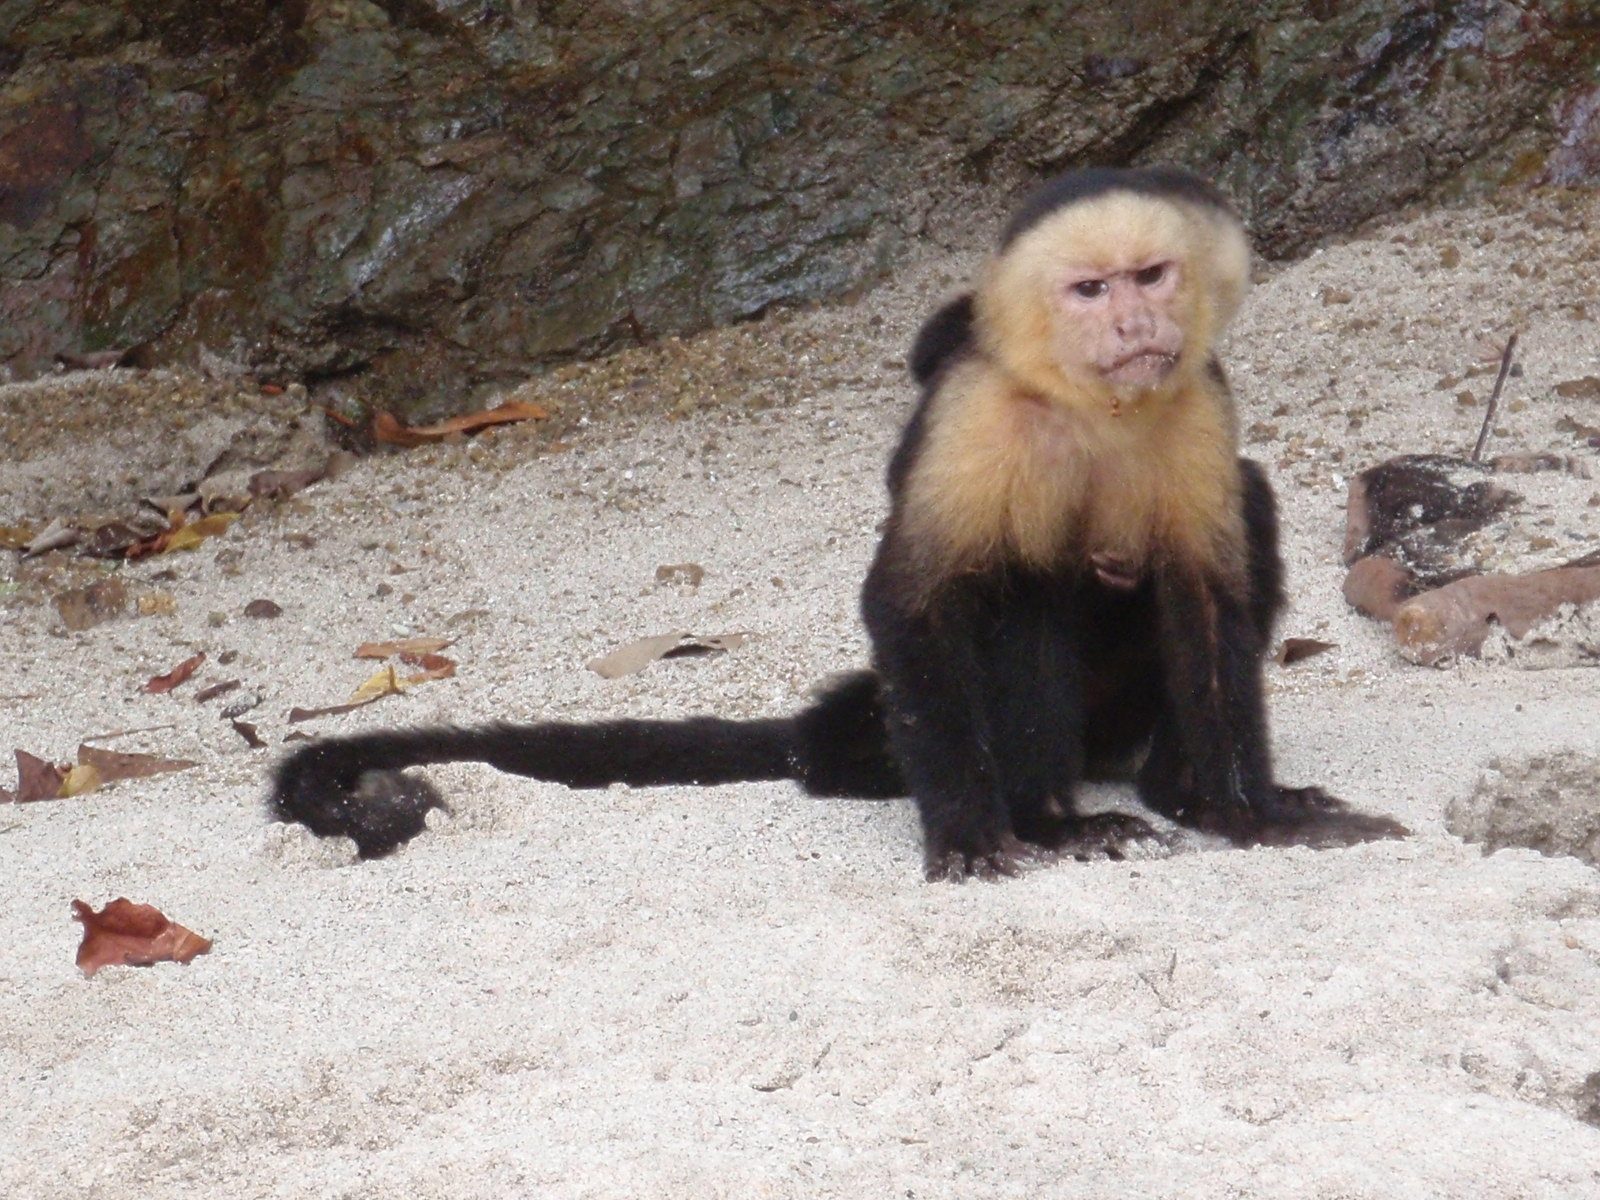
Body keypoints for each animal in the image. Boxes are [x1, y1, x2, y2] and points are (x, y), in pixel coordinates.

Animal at [268, 165, 1407, 880]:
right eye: (1089, 289)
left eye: (1151, 276)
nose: (1134, 324)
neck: (1090, 405)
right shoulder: (975, 414)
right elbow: (914, 602)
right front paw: (971, 837)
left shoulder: (1197, 398)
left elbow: (1207, 597)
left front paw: (1244, 812)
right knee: (1015, 590)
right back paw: (1048, 820)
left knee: (1242, 508)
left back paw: (1171, 787)